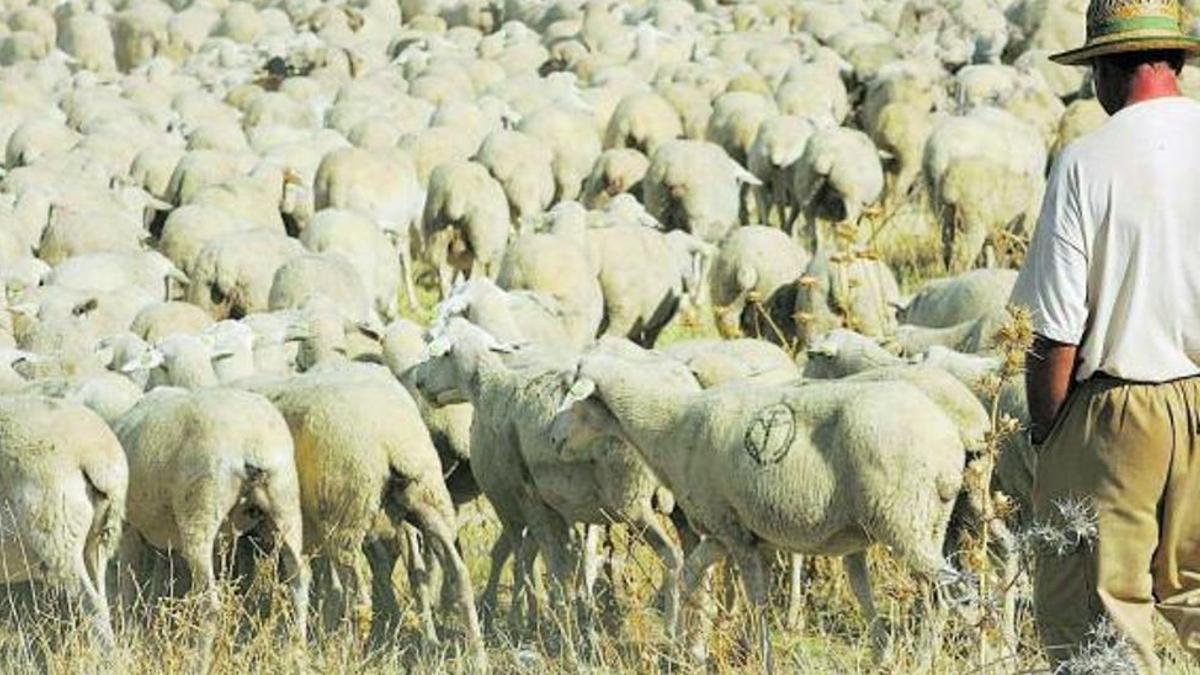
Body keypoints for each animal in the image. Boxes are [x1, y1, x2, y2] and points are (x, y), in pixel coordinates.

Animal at [112, 386, 309, 638]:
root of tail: (251, 441)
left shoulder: (129, 527)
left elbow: (128, 578)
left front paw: (128, 633)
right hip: (285, 501)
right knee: (299, 576)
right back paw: (298, 645)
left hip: (201, 509)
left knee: (209, 603)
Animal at [552, 343, 964, 658]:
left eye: (576, 399)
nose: (553, 438)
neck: (671, 426)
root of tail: (946, 444)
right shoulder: (723, 530)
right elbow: (689, 577)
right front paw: (688, 647)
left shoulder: (737, 535)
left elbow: (756, 601)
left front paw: (759, 654)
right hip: (930, 521)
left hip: (903, 519)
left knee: (942, 597)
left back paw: (923, 659)